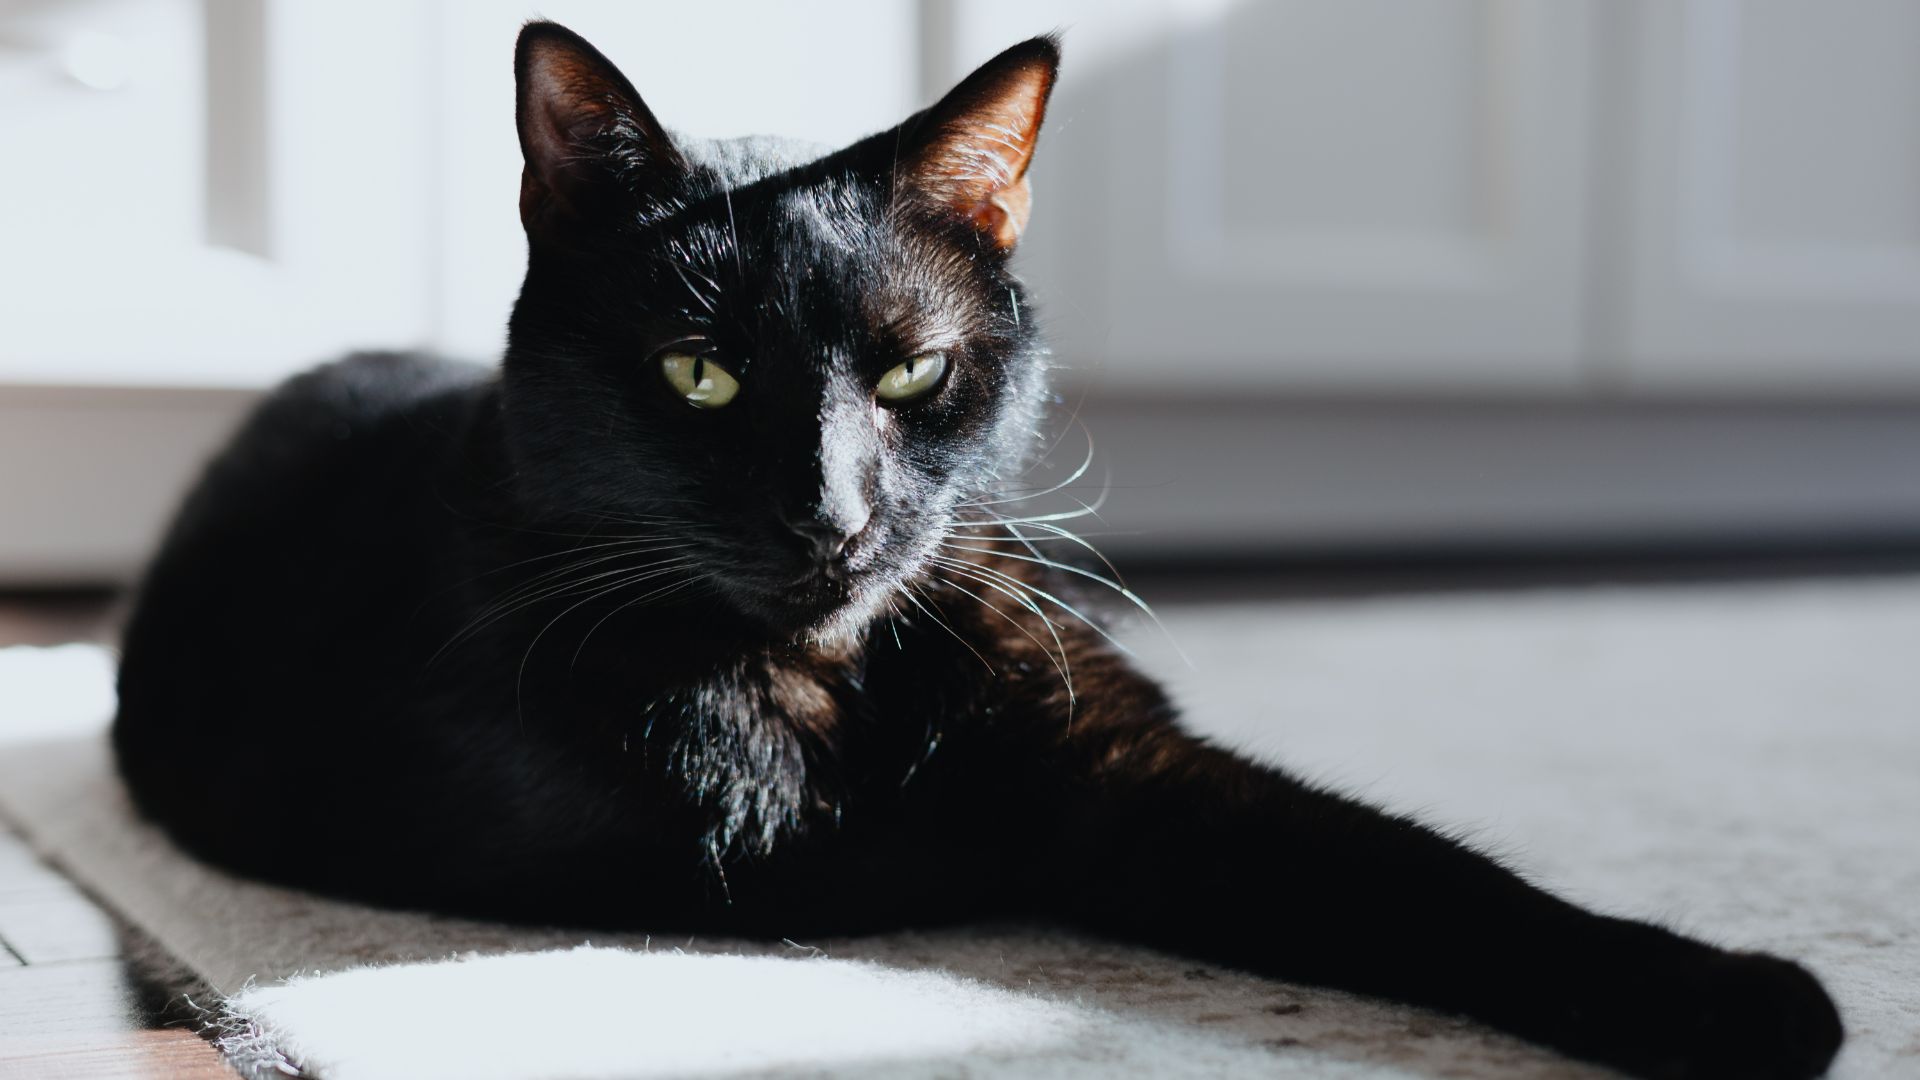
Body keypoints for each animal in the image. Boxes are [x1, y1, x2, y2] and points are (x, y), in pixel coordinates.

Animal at [116, 18, 1843, 1076]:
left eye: (910, 373)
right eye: (700, 374)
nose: (832, 512)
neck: (836, 680)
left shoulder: (1123, 770)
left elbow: (1418, 873)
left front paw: (1742, 997)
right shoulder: (769, 855)